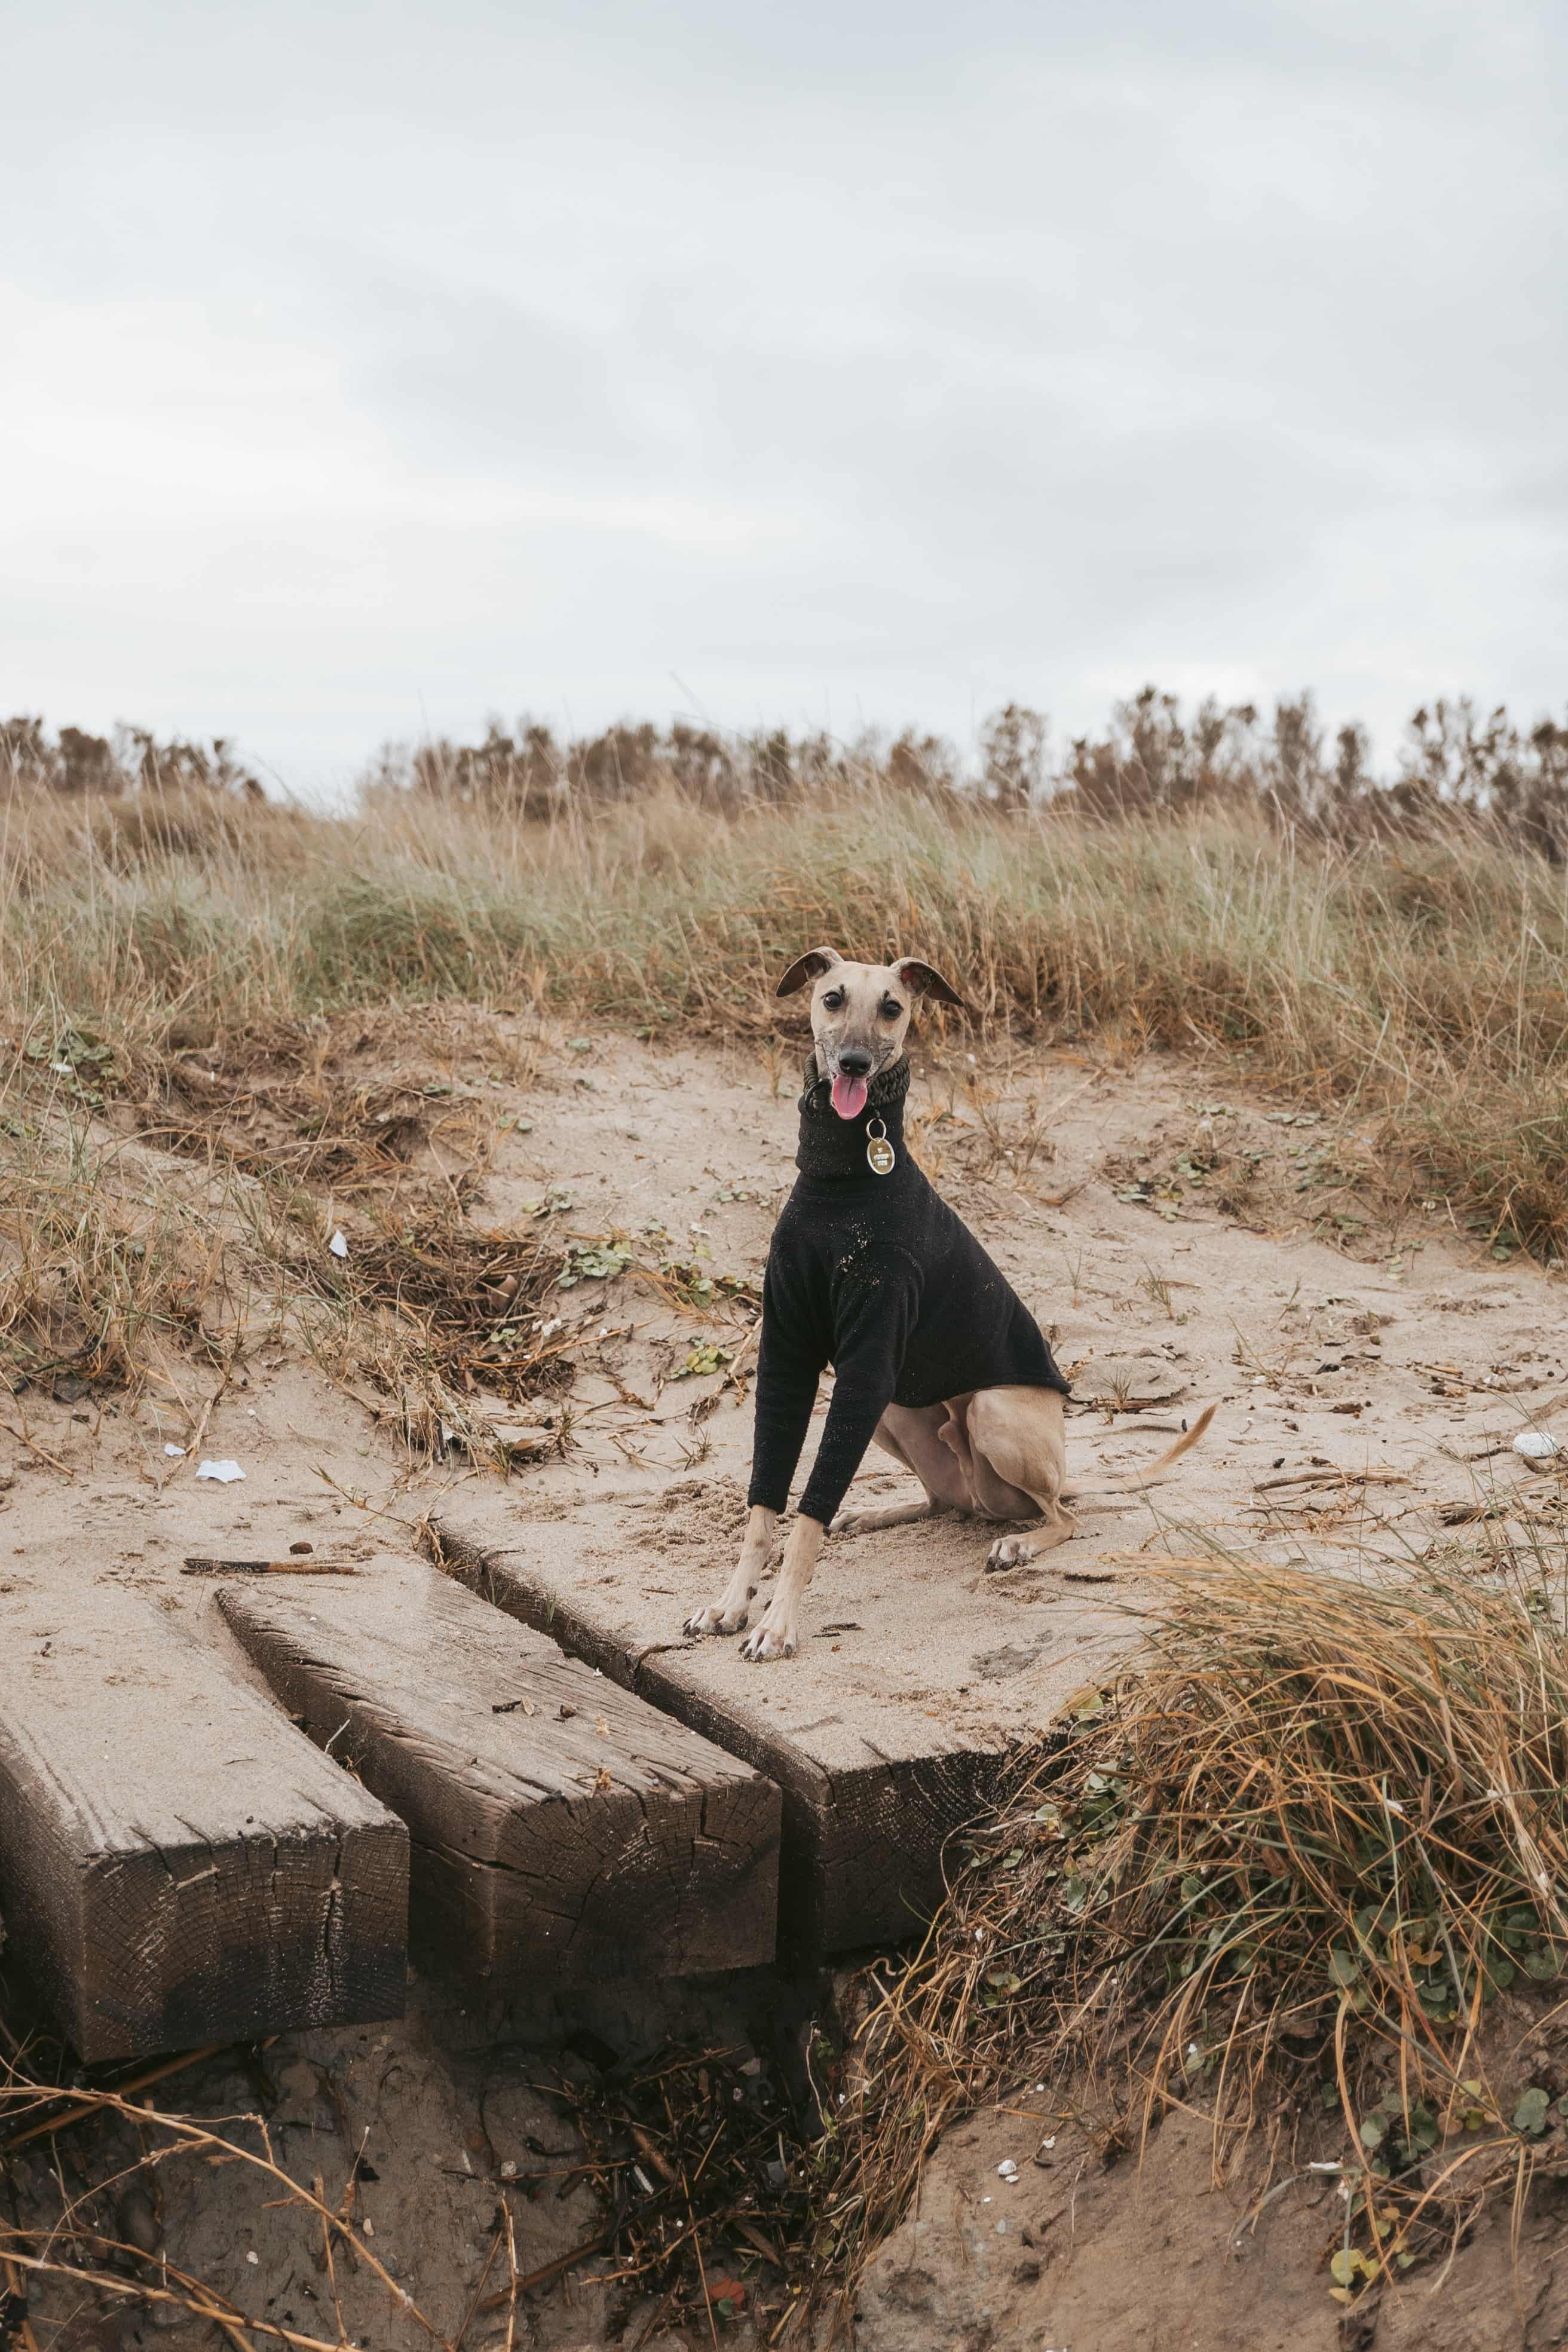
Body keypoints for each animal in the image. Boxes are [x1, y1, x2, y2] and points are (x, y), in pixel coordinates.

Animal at [681, 945, 1222, 1665]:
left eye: (891, 1007)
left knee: (1062, 1516)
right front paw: (731, 1602)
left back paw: (1019, 1542)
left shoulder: (866, 1360)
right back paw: (878, 1513)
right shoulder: (792, 1351)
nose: (854, 1064)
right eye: (832, 998)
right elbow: (766, 1506)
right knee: (946, 1503)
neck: (841, 1181)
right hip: (893, 1414)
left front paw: (778, 1622)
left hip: (989, 1413)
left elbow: (805, 1518)